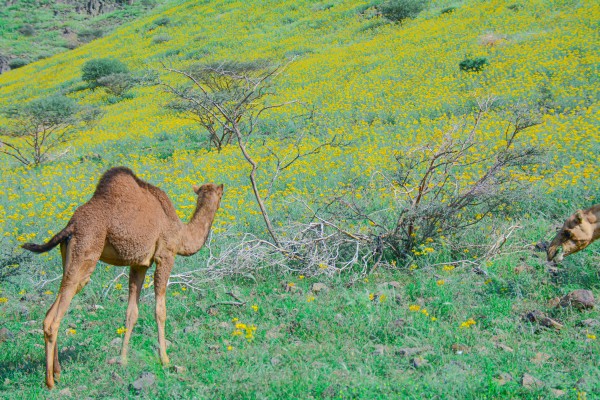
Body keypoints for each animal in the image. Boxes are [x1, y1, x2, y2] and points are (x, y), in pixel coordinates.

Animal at [22, 167, 225, 390]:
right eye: (220, 194)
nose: (221, 198)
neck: (181, 234)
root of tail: (70, 226)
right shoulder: (165, 256)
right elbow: (160, 311)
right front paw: (165, 359)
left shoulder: (139, 264)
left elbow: (131, 313)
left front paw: (123, 359)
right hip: (86, 253)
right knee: (54, 319)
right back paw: (50, 382)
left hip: (68, 258)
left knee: (51, 312)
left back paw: (57, 373)